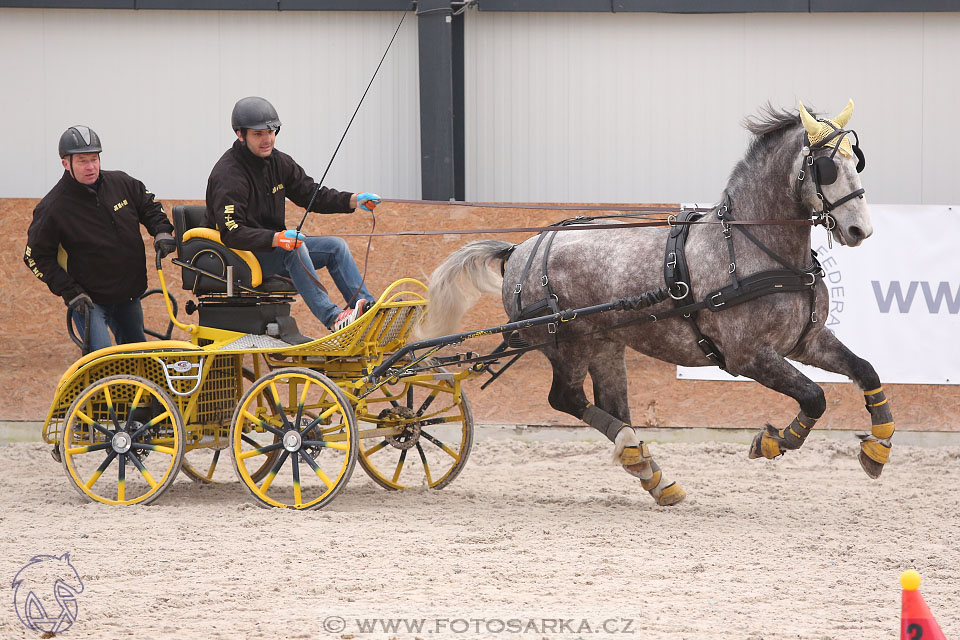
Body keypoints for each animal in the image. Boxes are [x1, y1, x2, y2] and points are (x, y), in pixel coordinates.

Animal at [418, 102, 892, 508]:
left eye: (856, 160)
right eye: (826, 166)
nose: (859, 229)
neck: (752, 247)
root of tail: (519, 250)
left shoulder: (805, 341)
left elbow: (866, 371)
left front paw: (878, 449)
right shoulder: (747, 355)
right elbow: (814, 396)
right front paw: (773, 441)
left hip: (606, 345)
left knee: (610, 406)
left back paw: (650, 471)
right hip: (567, 343)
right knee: (566, 398)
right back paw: (637, 454)